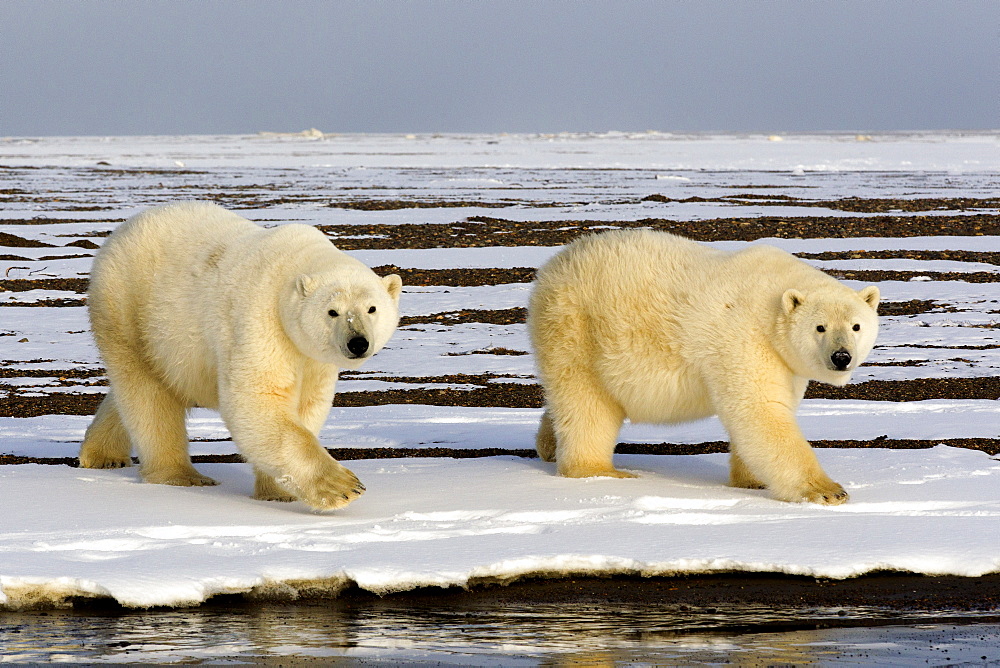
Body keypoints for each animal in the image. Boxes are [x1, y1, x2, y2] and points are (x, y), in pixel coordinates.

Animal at [80, 201, 402, 508]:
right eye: (332, 311)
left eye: (372, 308)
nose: (357, 343)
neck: (290, 269)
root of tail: (122, 231)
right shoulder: (260, 319)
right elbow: (257, 399)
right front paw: (344, 487)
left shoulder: (312, 358)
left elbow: (306, 405)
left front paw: (279, 492)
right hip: (129, 309)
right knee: (147, 395)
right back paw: (182, 475)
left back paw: (102, 455)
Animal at [528, 231, 880, 506]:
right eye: (820, 327)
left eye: (856, 326)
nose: (841, 356)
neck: (772, 303)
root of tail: (553, 266)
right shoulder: (745, 337)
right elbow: (760, 411)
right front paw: (829, 491)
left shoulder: (786, 362)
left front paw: (752, 480)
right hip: (578, 329)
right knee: (587, 402)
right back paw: (599, 470)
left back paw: (548, 445)